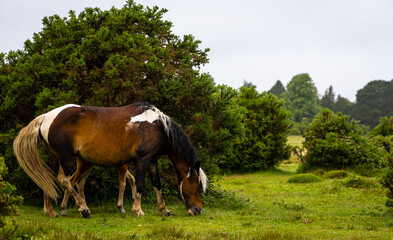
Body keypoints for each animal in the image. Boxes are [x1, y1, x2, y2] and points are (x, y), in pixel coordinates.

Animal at [13, 101, 207, 218]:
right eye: (197, 185)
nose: (197, 210)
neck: (158, 126)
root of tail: (46, 117)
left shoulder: (152, 160)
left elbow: (156, 185)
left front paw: (164, 210)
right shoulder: (142, 160)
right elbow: (140, 185)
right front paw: (138, 210)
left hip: (55, 157)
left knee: (50, 179)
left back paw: (50, 211)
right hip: (67, 159)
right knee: (64, 180)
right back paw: (83, 209)